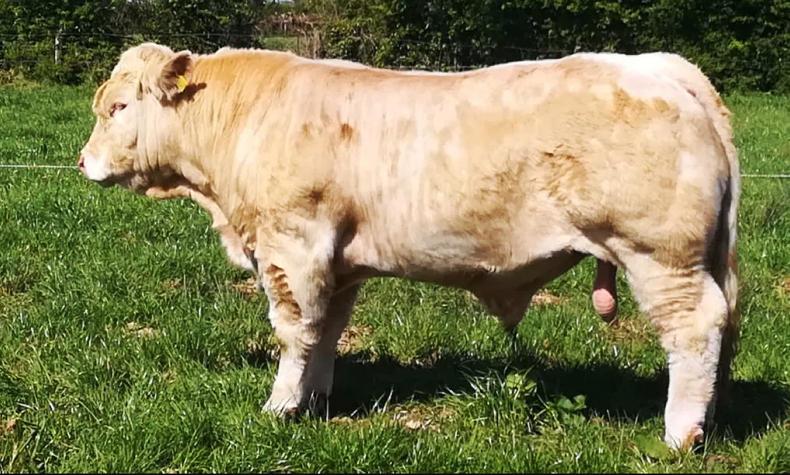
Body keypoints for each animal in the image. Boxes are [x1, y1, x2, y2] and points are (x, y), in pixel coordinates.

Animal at [79, 43, 739, 449]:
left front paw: (280, 407)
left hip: (661, 256)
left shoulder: (292, 247)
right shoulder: (337, 262)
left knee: (695, 329)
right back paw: (713, 417)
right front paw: (317, 399)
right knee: (727, 323)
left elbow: (294, 329)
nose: (82, 162)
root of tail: (659, 67)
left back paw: (680, 432)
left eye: (118, 107)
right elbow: (328, 330)